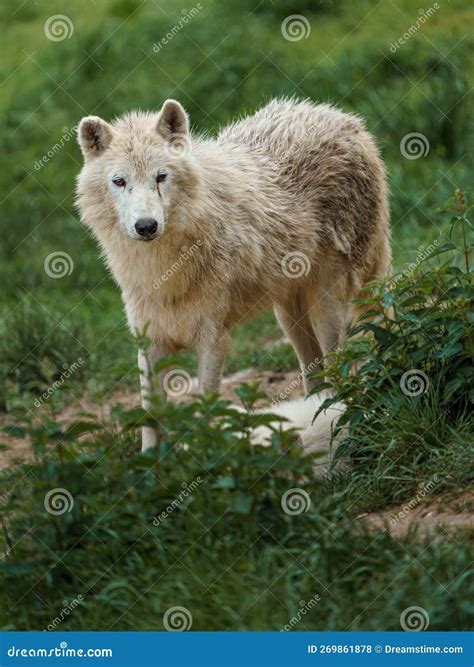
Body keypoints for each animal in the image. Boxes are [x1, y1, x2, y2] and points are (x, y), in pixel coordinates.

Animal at [77, 98, 388, 454]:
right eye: (120, 181)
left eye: (161, 176)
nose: (146, 226)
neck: (164, 271)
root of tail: (343, 119)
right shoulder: (150, 342)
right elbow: (151, 421)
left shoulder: (213, 340)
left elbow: (203, 413)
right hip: (289, 318)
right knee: (314, 379)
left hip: (327, 309)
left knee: (337, 374)